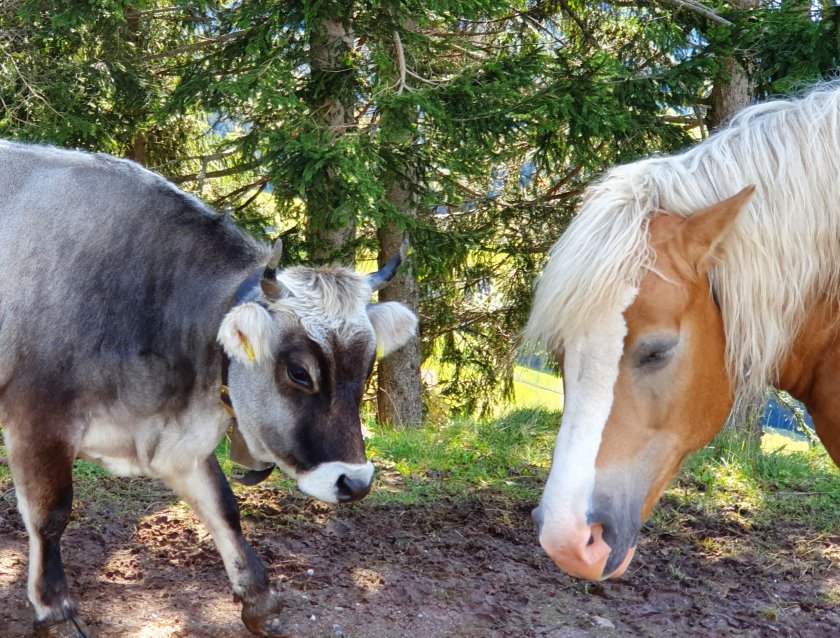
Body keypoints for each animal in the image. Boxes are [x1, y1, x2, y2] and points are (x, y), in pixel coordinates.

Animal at [0, 140, 418, 638]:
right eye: (299, 372)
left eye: (368, 364)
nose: (355, 483)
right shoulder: (39, 421)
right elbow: (51, 516)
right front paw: (56, 612)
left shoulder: (178, 440)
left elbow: (224, 507)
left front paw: (259, 601)